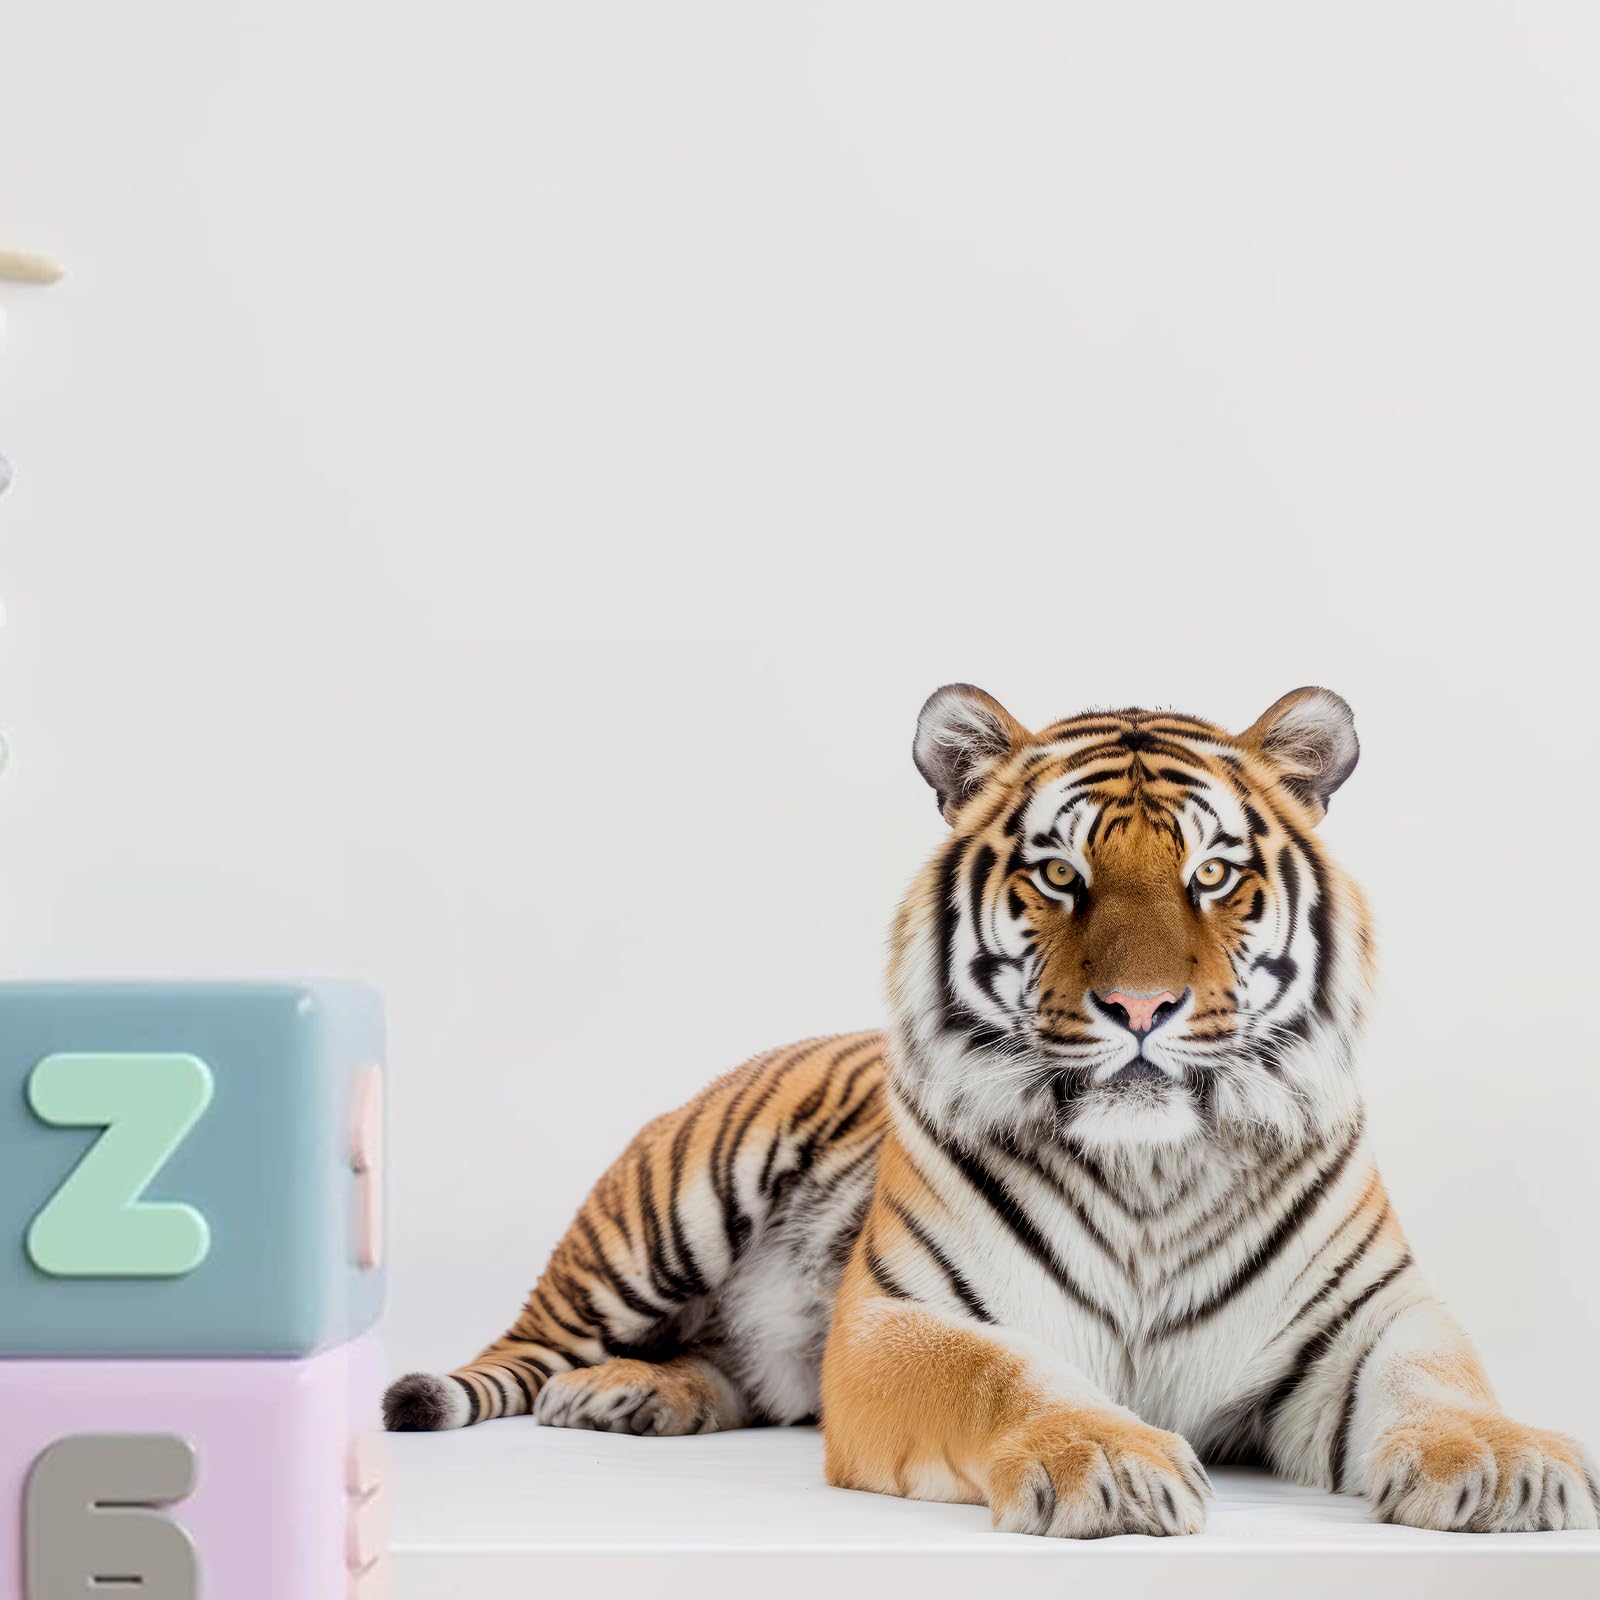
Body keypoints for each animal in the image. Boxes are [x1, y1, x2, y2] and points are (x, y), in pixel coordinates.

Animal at [385, 684, 1600, 1536]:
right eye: (1059, 875)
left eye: (1212, 875)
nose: (1141, 1006)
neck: (1153, 1167)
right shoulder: (897, 1319)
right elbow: (999, 1374)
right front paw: (1106, 1460)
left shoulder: (1373, 1319)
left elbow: (1440, 1382)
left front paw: (1504, 1464)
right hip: (660, 1214)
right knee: (521, 1347)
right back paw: (588, 1388)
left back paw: (642, 1396)